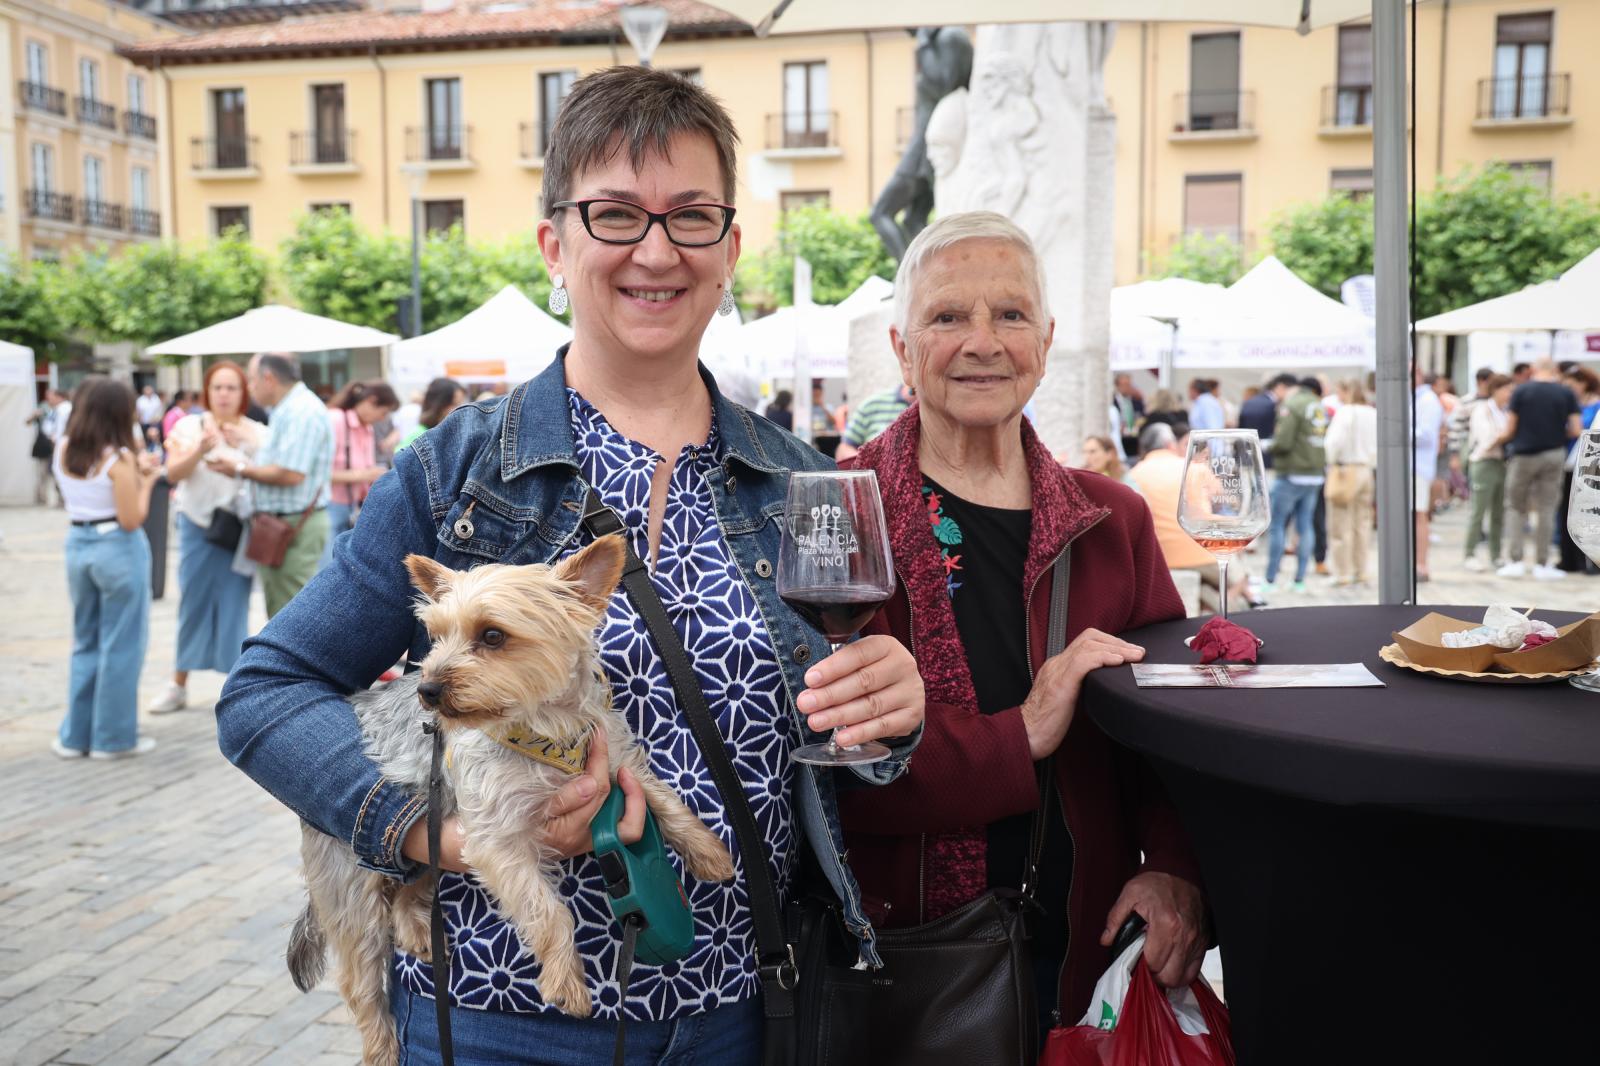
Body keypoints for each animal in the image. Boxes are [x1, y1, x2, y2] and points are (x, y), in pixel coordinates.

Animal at [288, 541, 736, 1062]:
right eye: (435, 637)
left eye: (492, 635)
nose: (427, 690)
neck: (544, 732)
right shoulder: (498, 840)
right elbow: (548, 911)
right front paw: (566, 983)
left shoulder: (618, 759)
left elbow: (664, 798)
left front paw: (709, 853)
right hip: (353, 886)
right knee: (362, 984)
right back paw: (381, 1047)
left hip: (435, 828)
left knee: (410, 885)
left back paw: (418, 931)